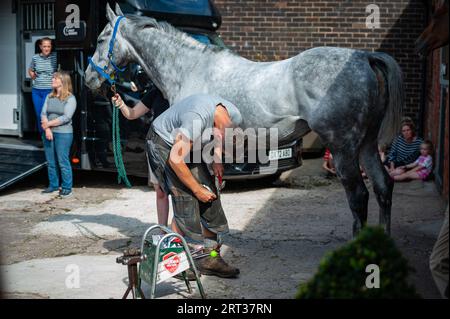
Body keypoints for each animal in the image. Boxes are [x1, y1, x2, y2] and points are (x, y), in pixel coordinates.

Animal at [85, 3, 404, 238]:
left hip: (343, 149)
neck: (190, 68)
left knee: (359, 196)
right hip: (366, 144)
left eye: (100, 39)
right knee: (383, 186)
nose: (89, 79)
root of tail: (364, 57)